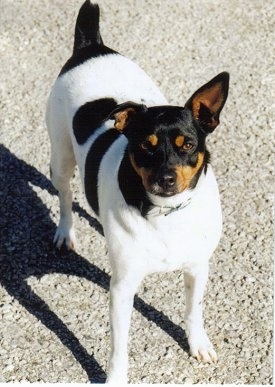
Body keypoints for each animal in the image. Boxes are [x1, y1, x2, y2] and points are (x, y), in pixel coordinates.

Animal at [46, 0, 230, 384]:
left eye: (188, 145)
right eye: (146, 146)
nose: (165, 179)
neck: (164, 214)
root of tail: (92, 46)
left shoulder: (197, 268)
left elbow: (193, 312)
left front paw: (198, 344)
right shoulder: (122, 288)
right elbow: (119, 347)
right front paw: (116, 378)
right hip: (61, 158)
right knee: (66, 197)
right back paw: (65, 232)